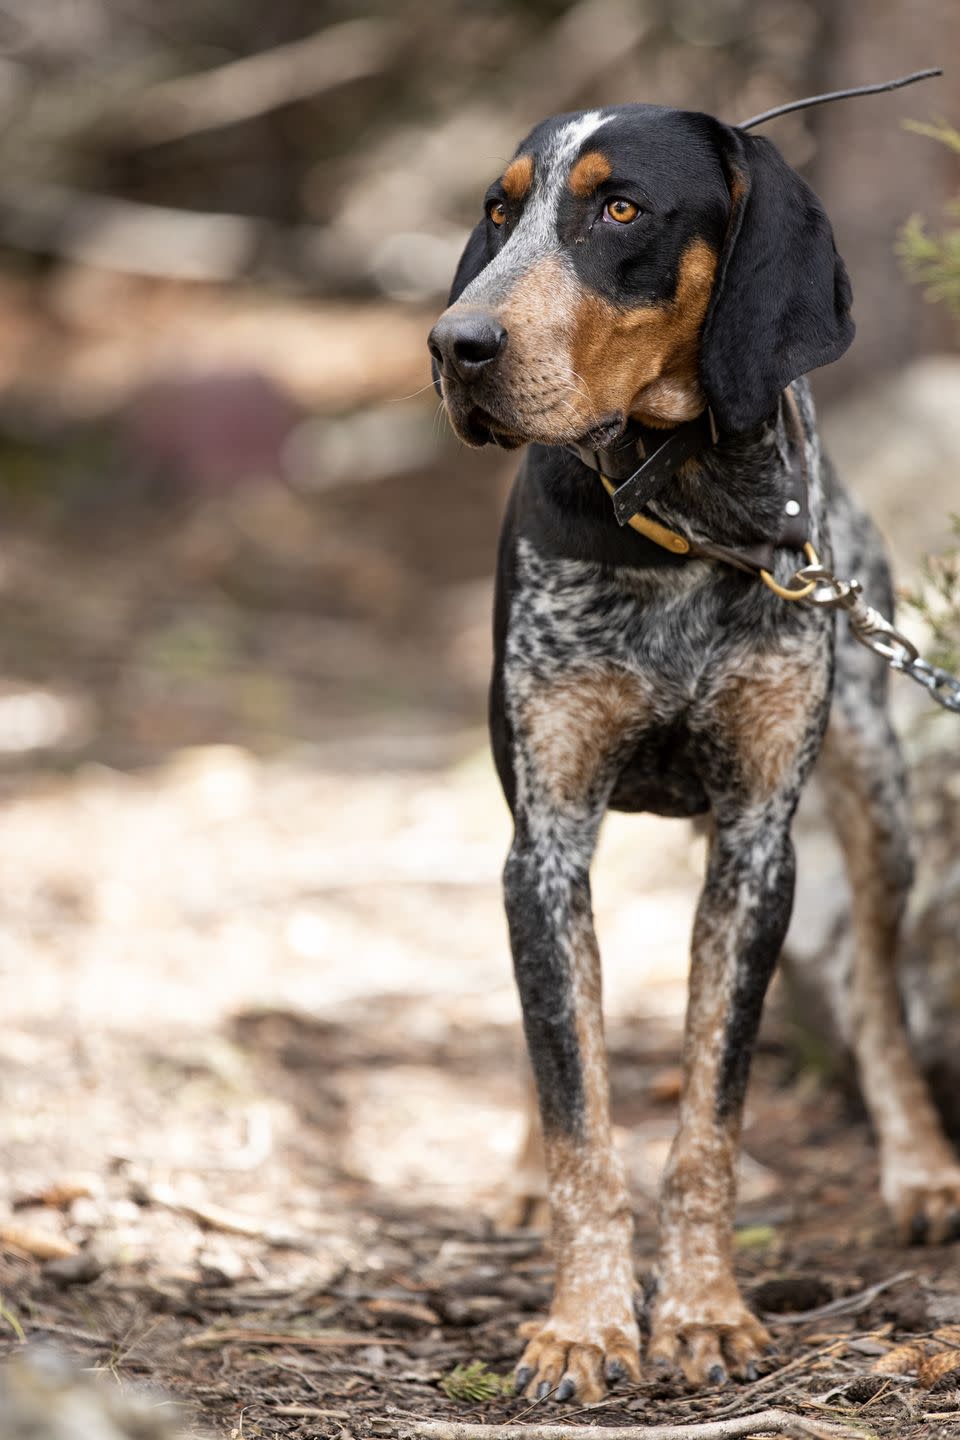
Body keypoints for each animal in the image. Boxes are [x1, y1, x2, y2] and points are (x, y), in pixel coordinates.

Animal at [428, 104, 960, 1405]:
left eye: (621, 208)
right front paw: (583, 1325)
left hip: (878, 802)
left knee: (877, 991)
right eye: (500, 210)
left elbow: (711, 1120)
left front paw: (705, 1311)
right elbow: (577, 1112)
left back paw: (919, 1164)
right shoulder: (547, 843)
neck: (683, 516)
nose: (453, 343)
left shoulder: (760, 847)